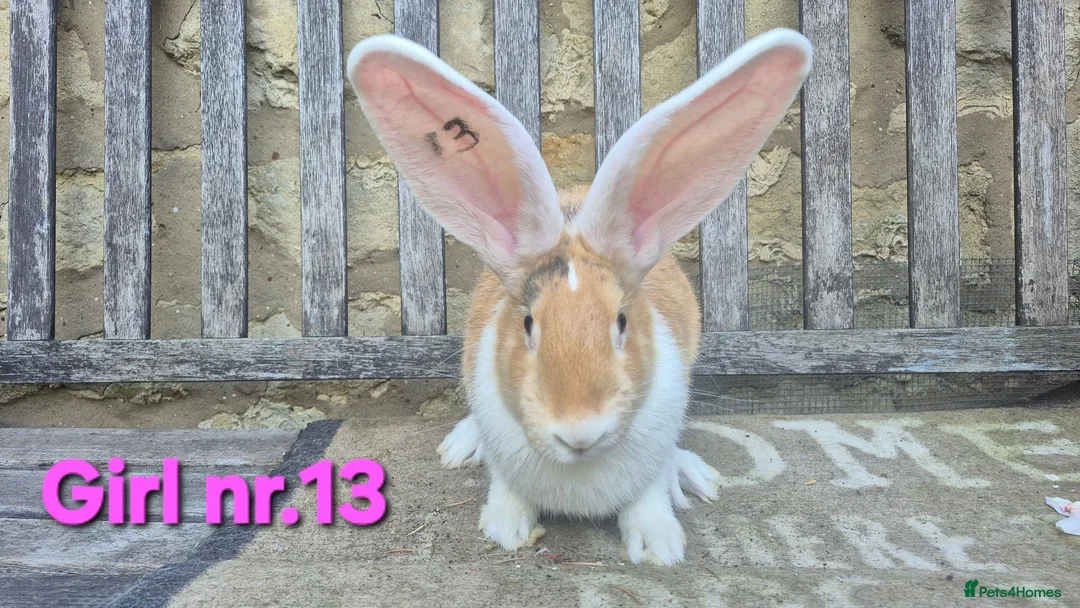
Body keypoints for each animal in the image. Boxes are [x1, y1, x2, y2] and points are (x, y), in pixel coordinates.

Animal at [347, 28, 812, 566]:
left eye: (622, 322)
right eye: (528, 324)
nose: (579, 432)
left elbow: (648, 497)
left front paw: (659, 547)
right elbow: (507, 490)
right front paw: (506, 529)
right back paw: (462, 446)